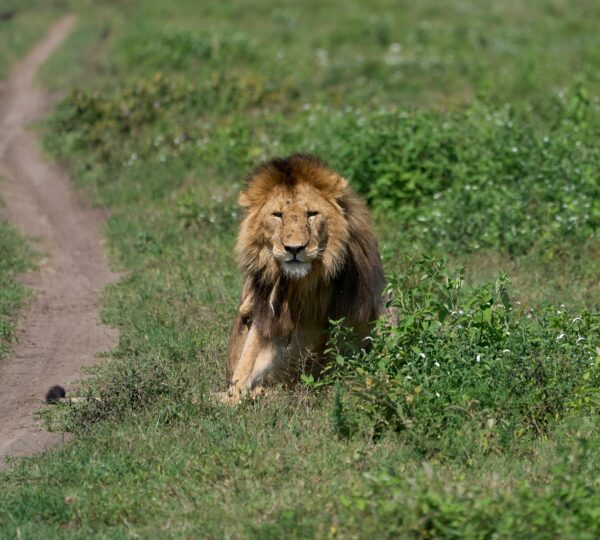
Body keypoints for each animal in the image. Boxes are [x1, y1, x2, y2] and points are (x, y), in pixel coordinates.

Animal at [224, 152, 384, 400]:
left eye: (311, 214)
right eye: (278, 215)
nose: (294, 248)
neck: (303, 288)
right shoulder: (264, 319)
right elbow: (247, 366)